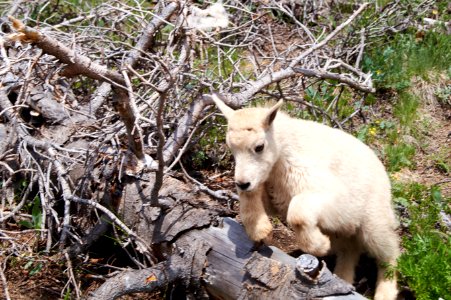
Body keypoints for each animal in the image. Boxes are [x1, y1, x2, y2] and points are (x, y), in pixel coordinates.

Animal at [210, 94, 400, 300]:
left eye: (259, 147)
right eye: (231, 147)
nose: (242, 182)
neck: (283, 149)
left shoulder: (325, 188)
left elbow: (299, 212)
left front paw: (320, 246)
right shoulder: (271, 187)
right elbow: (254, 200)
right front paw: (261, 231)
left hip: (373, 214)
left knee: (387, 248)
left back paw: (385, 290)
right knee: (349, 249)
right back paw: (343, 278)